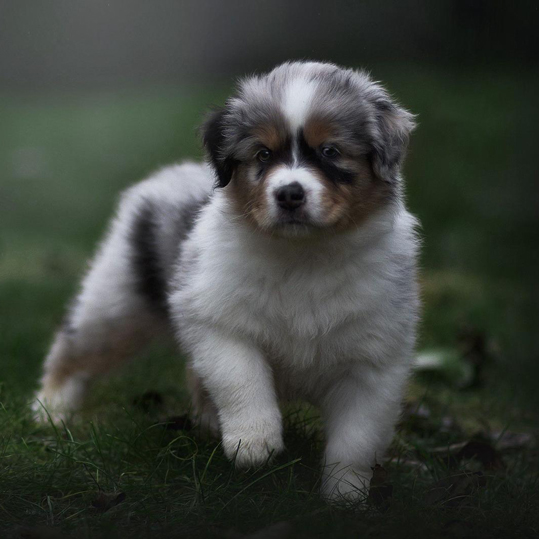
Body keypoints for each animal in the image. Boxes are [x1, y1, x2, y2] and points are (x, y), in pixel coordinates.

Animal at [32, 62, 422, 502]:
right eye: (263, 154)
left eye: (331, 152)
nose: (289, 194)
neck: (304, 256)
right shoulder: (217, 319)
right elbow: (242, 378)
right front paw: (253, 443)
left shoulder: (373, 363)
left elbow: (355, 439)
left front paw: (345, 497)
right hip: (118, 302)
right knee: (75, 347)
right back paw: (51, 409)